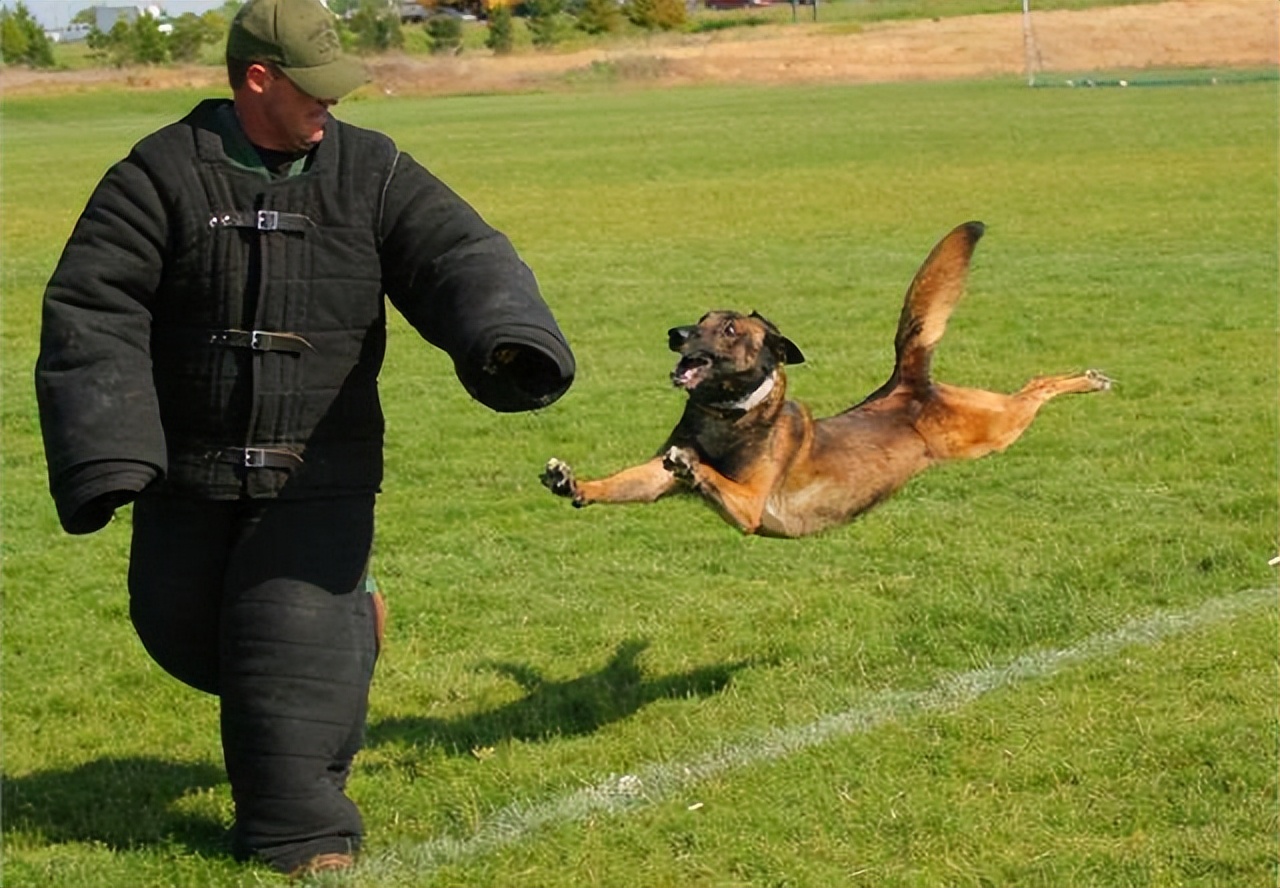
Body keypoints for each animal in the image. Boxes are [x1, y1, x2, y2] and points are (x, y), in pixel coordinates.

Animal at [540, 223, 1111, 542]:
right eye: (699, 319)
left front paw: (694, 464)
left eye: (728, 329)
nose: (675, 334)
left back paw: (1088, 380)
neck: (730, 416)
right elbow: (628, 480)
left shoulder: (749, 506)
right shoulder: (655, 479)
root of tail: (903, 386)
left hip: (991, 432)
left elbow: (707, 473)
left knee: (1036, 387)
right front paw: (573, 482)